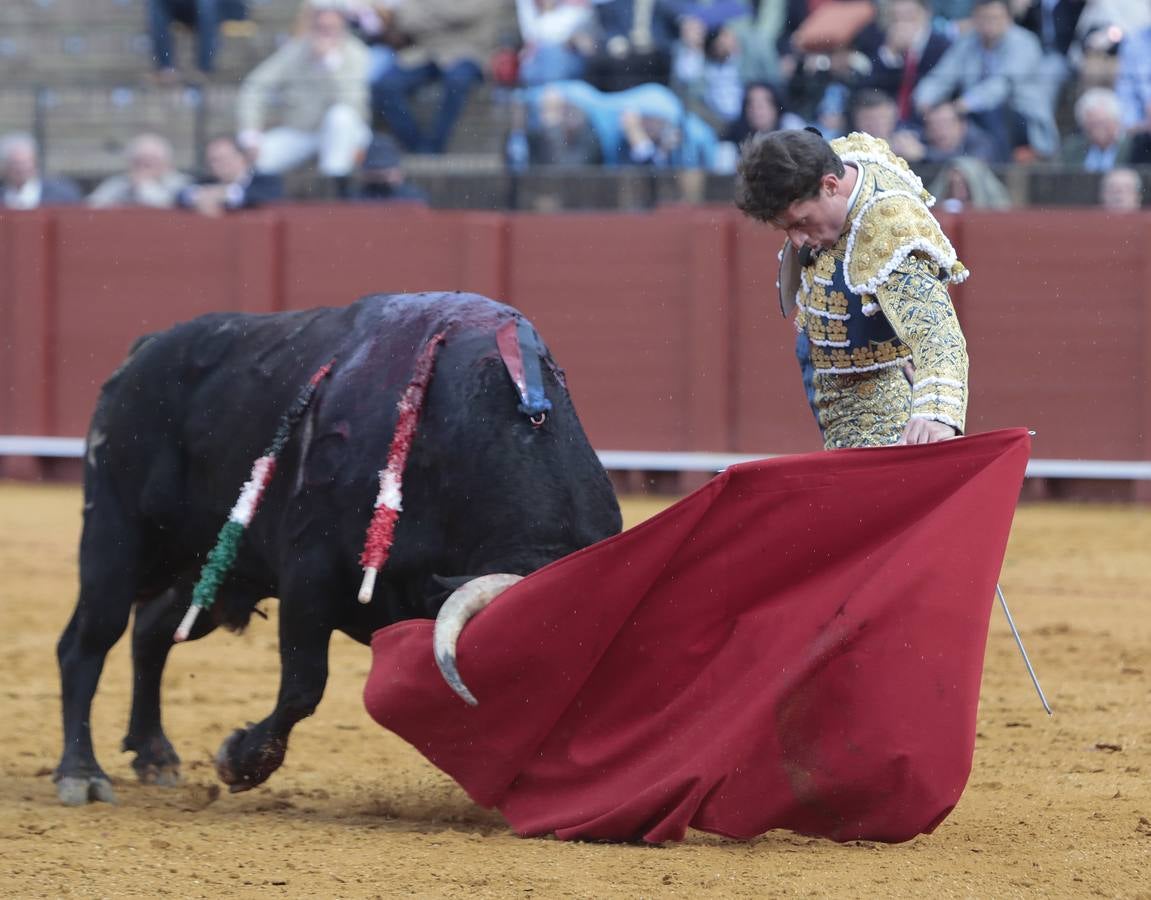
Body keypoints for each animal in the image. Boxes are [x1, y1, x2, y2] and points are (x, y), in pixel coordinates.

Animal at [56, 292, 621, 805]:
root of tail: (144, 352)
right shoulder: (310, 572)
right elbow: (305, 683)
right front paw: (238, 761)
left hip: (209, 569)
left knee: (151, 633)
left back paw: (154, 755)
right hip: (116, 533)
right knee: (88, 641)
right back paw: (82, 774)